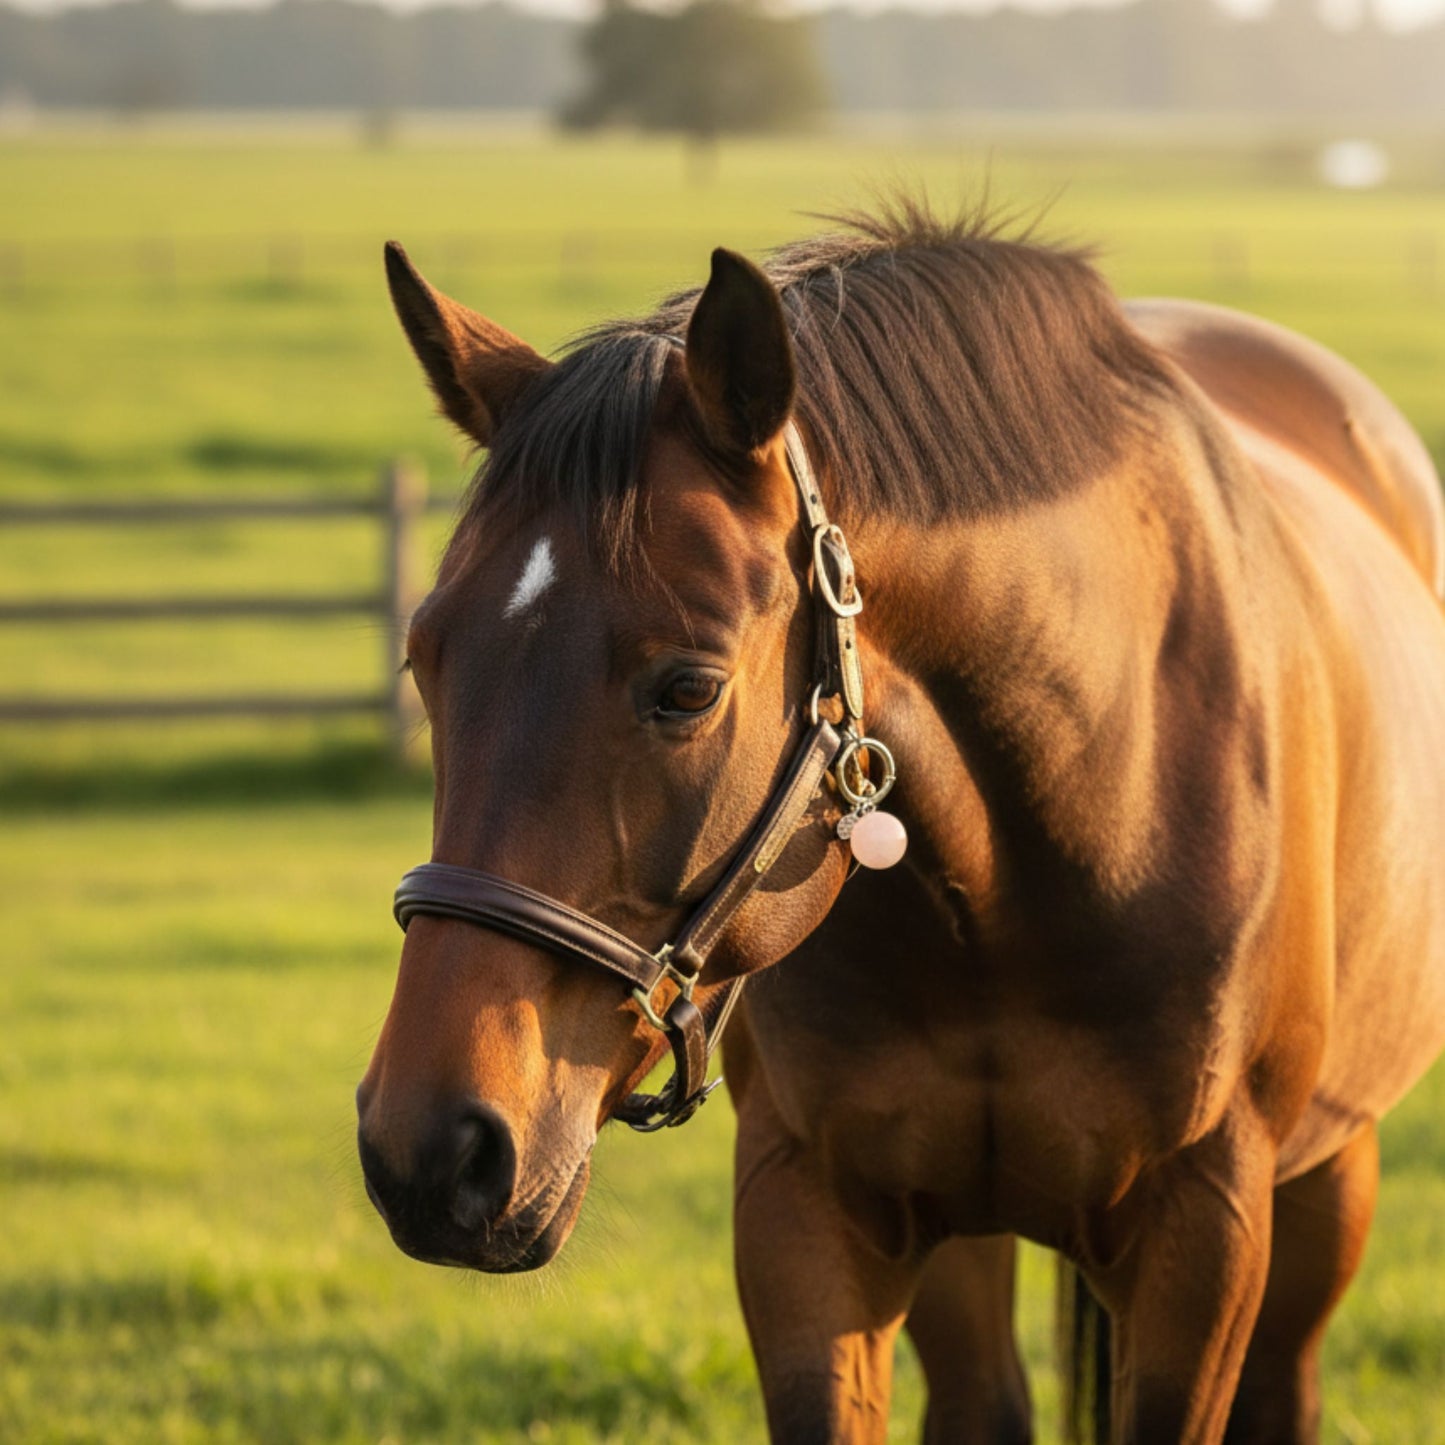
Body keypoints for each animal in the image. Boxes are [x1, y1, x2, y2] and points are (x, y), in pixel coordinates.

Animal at [354, 200, 1445, 1444]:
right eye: (424, 657)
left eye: (687, 688)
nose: (429, 1148)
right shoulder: (810, 1208)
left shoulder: (1203, 1228)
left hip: (1326, 1173)